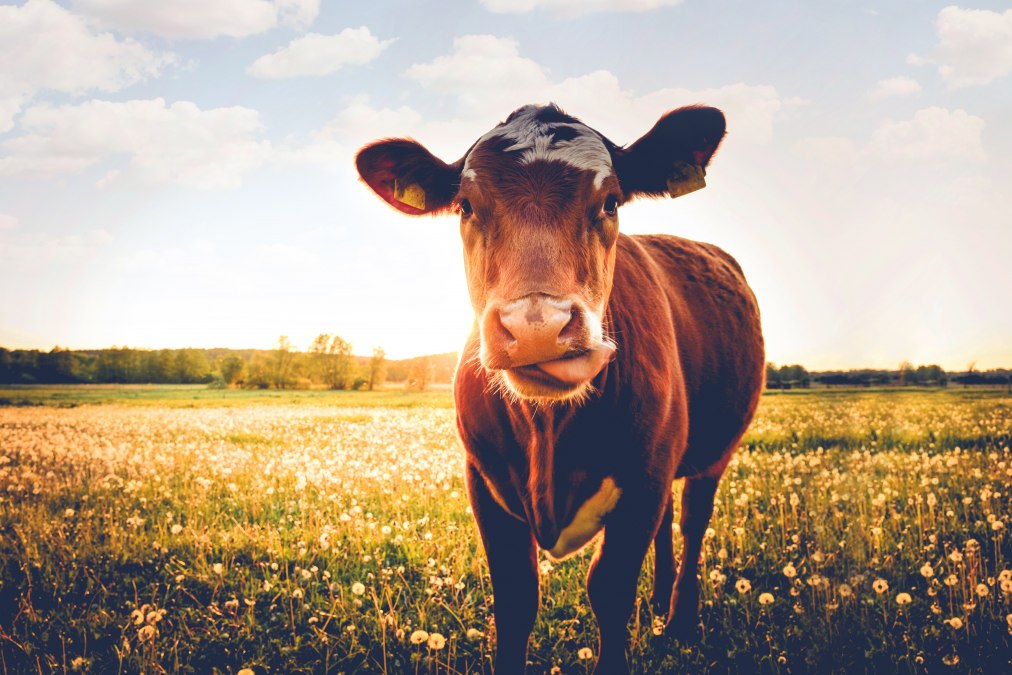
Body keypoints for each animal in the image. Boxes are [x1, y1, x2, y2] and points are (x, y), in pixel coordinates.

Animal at [356, 104, 764, 675]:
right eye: (465, 206)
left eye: (611, 200)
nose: (537, 327)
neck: (549, 431)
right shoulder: (484, 480)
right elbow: (516, 597)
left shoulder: (644, 480)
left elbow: (609, 590)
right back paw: (658, 603)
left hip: (713, 453)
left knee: (692, 522)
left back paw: (679, 620)